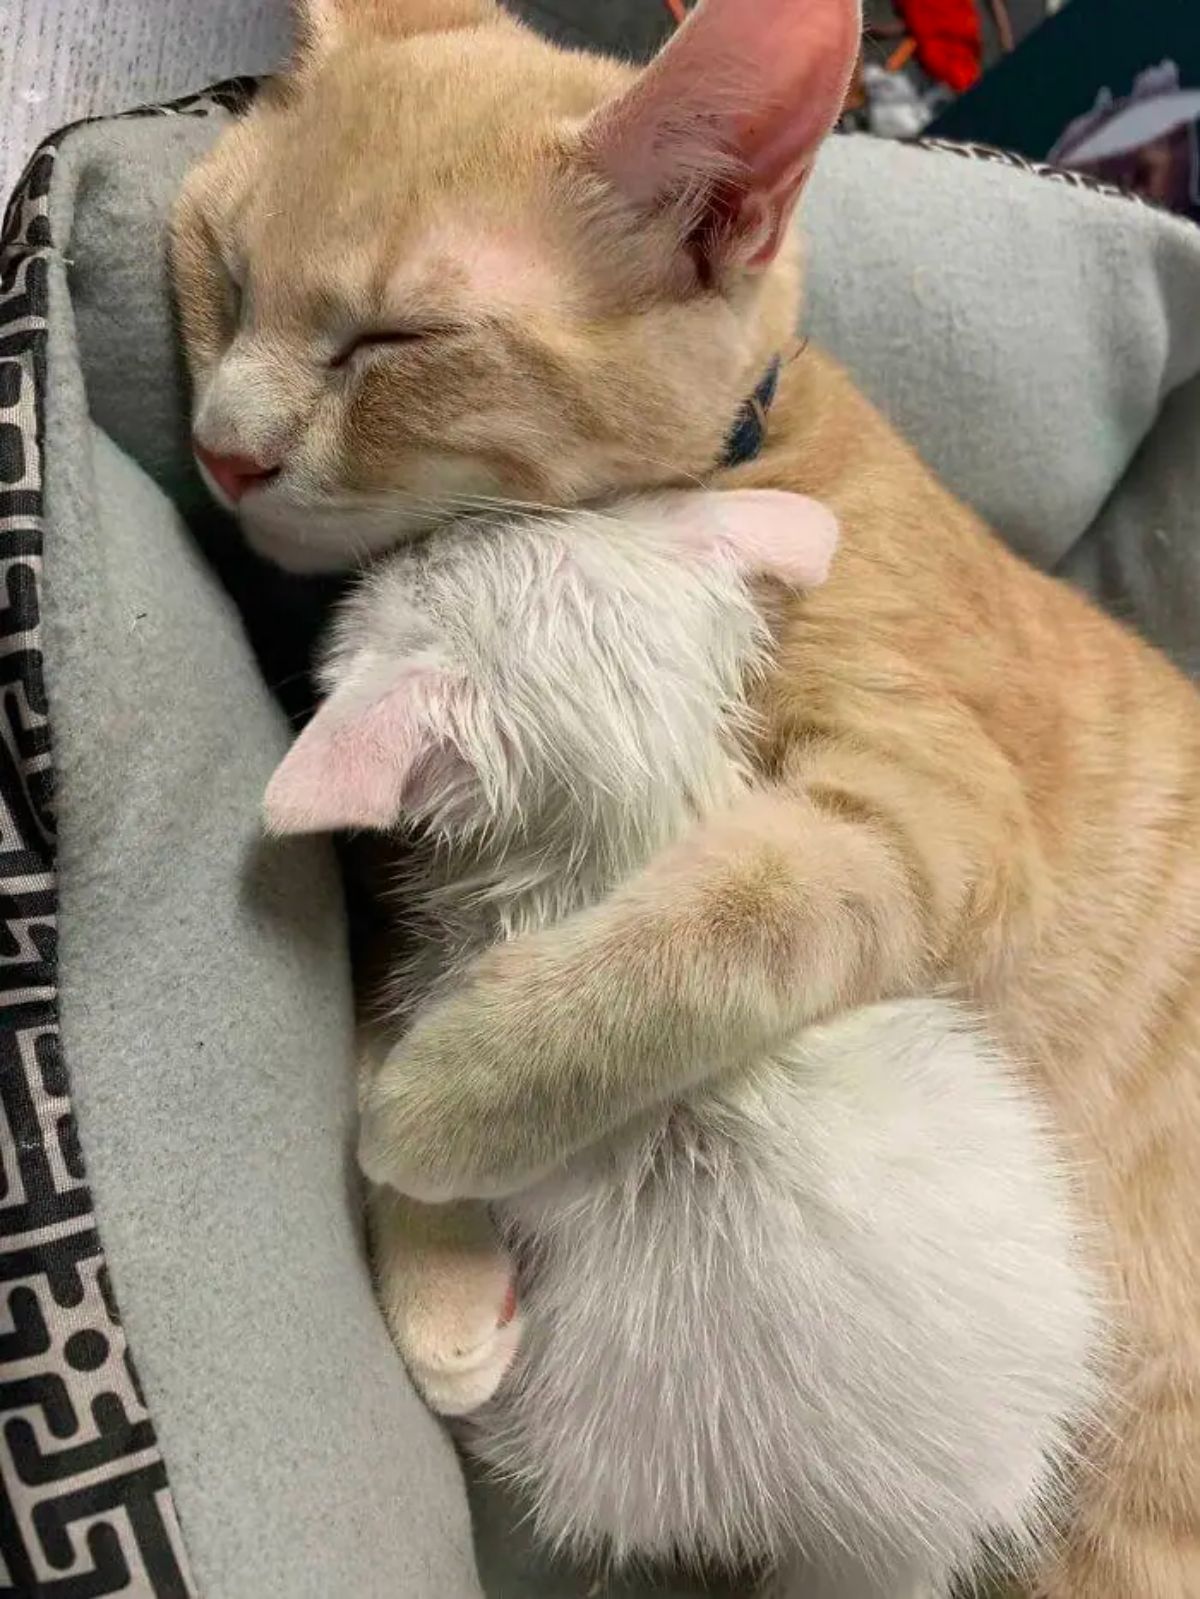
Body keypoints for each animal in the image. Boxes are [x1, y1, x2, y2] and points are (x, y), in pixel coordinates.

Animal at [176, 3, 1200, 1599]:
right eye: (222, 273)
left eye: (393, 342)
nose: (224, 452)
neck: (760, 446)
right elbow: (388, 971)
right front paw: (440, 1259)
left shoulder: (940, 819)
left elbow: (715, 930)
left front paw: (443, 1104)